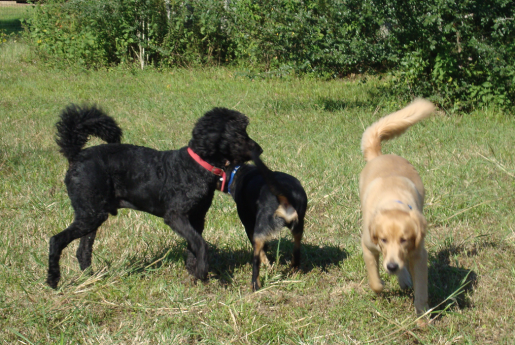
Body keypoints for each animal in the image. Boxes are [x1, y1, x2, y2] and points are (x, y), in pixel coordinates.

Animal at [47, 104, 262, 288]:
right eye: (239, 133)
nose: (259, 149)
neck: (195, 165)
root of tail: (76, 155)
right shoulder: (175, 216)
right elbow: (200, 244)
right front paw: (202, 271)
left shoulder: (197, 218)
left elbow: (193, 245)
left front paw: (193, 272)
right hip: (89, 214)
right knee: (56, 240)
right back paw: (53, 280)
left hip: (93, 214)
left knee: (82, 251)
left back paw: (91, 279)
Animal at [223, 148, 306, 290]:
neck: (238, 171)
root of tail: (285, 194)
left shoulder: (249, 226)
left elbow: (261, 253)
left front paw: (268, 266)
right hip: (298, 227)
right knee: (297, 249)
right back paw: (294, 268)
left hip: (259, 231)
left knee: (256, 262)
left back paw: (255, 285)